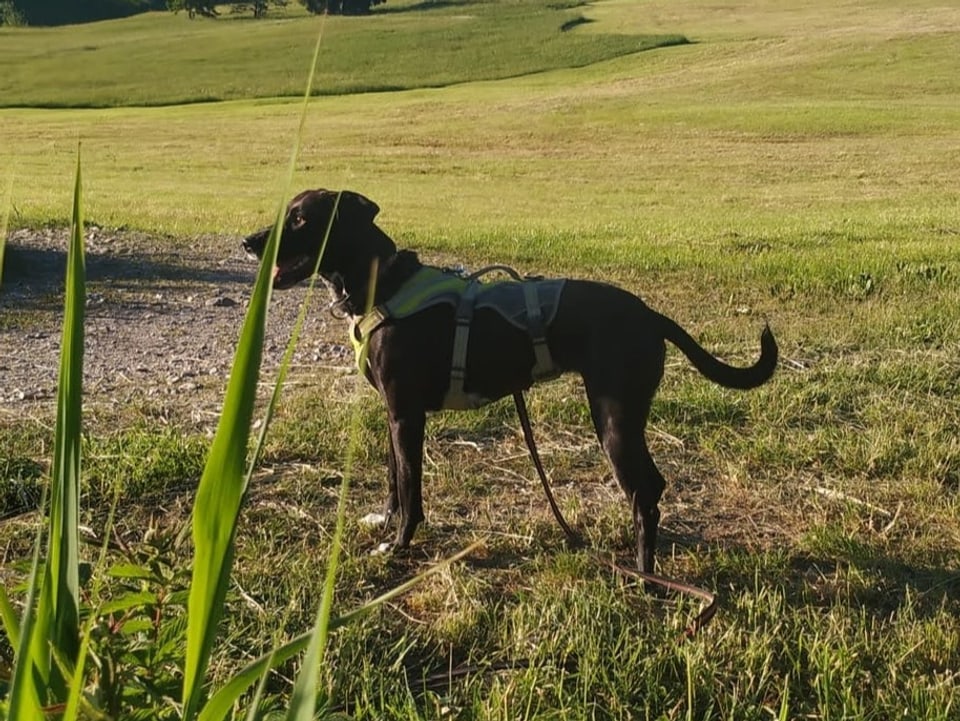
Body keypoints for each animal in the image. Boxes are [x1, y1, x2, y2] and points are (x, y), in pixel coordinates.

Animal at [244, 188, 776, 572]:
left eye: (301, 219)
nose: (249, 243)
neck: (384, 284)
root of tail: (650, 315)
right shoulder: (394, 415)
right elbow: (395, 478)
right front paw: (385, 522)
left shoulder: (407, 417)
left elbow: (412, 489)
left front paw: (399, 546)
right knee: (652, 489)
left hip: (614, 419)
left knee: (645, 492)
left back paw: (645, 576)